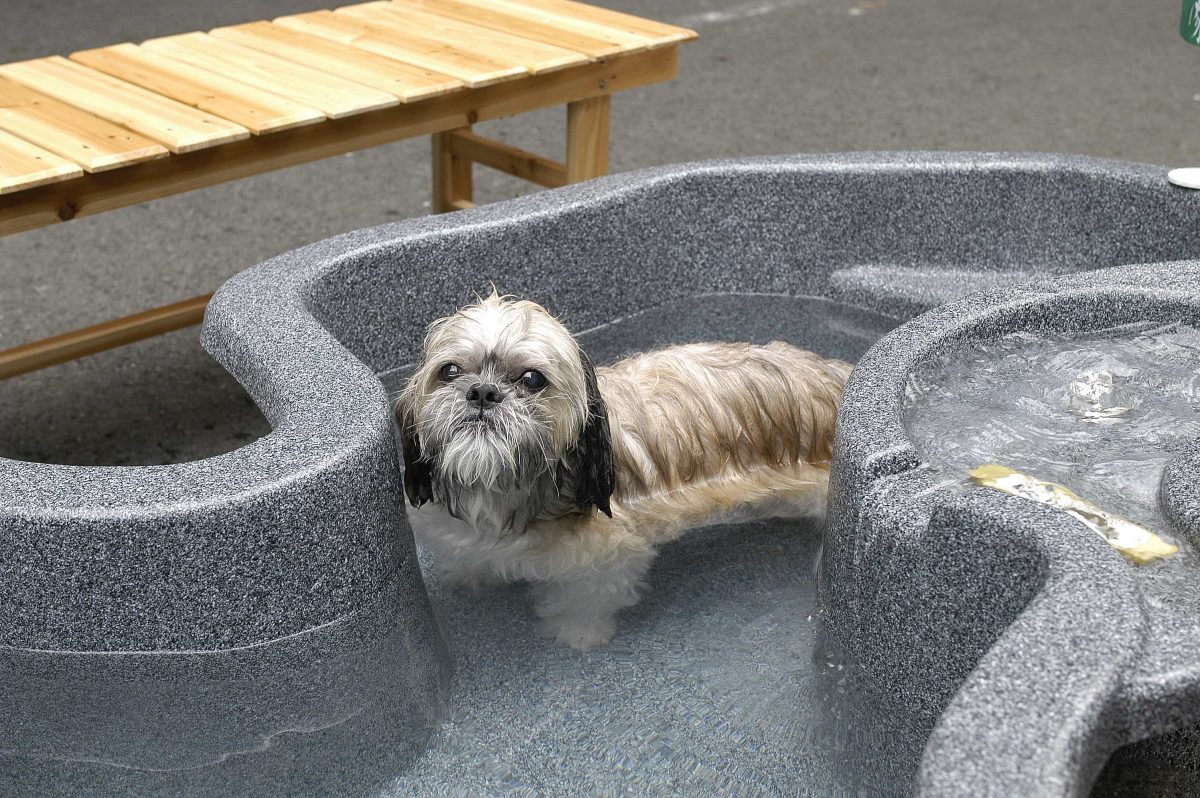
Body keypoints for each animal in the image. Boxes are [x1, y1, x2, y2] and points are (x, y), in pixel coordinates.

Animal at [398, 289, 849, 652]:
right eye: (450, 371)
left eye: (531, 378)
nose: (483, 392)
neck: (508, 492)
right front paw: (468, 573)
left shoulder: (609, 556)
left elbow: (588, 597)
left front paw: (577, 631)